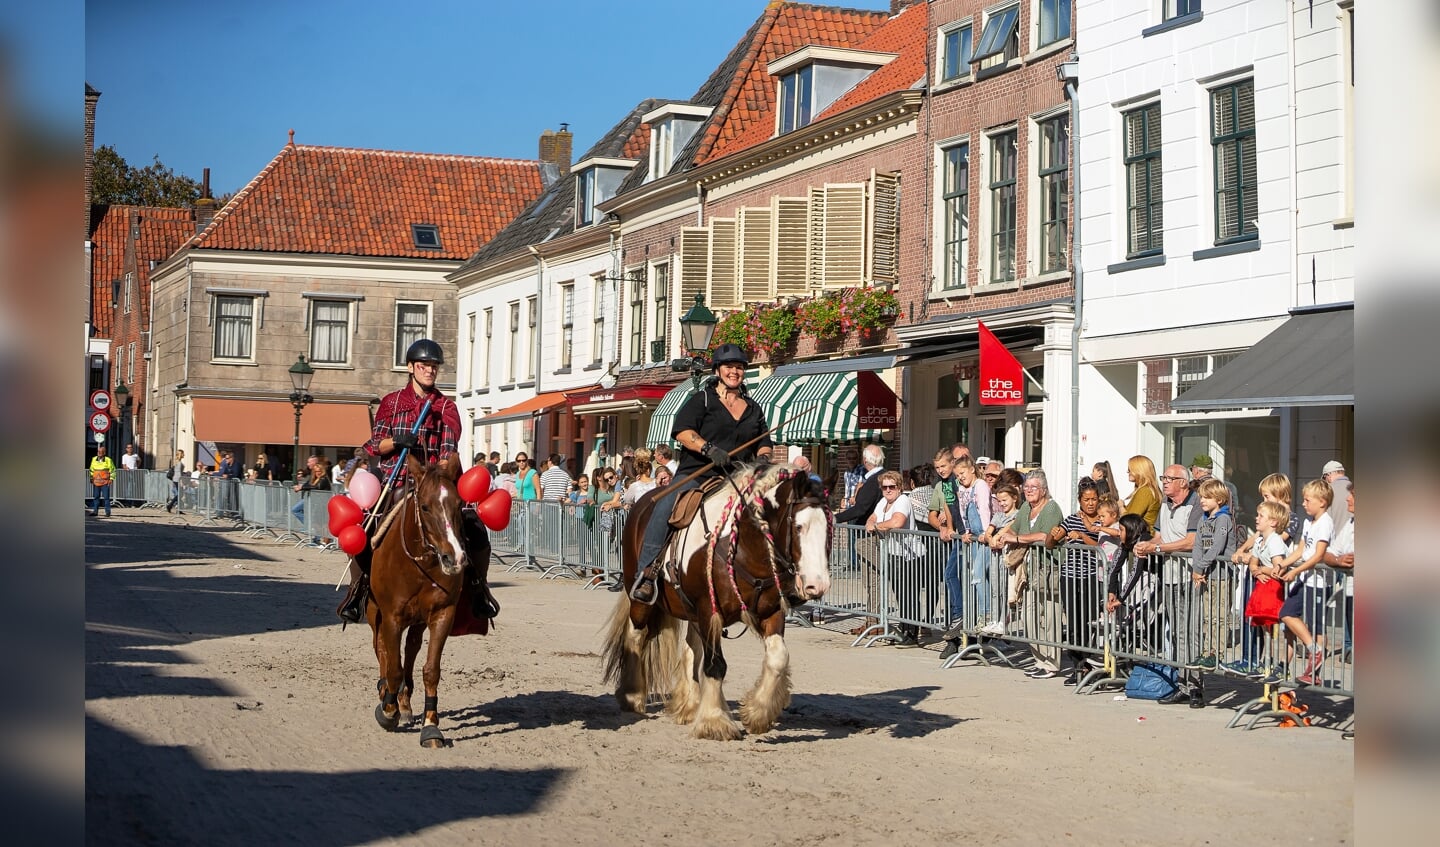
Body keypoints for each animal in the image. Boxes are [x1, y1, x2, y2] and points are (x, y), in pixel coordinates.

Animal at [362, 455, 475, 749]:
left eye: (459, 504)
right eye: (424, 506)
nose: (455, 558)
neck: (419, 564)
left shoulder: (442, 614)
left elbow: (430, 670)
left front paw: (431, 725)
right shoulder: (391, 616)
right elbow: (393, 666)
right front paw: (387, 711)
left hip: (418, 619)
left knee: (410, 648)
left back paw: (404, 703)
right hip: (374, 612)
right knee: (382, 649)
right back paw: (387, 695)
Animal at [601, 463, 835, 743]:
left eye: (829, 529)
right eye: (799, 527)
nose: (817, 585)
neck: (745, 547)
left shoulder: (770, 611)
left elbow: (778, 657)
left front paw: (757, 714)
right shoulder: (709, 610)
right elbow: (716, 665)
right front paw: (715, 721)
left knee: (690, 647)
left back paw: (689, 705)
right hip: (642, 600)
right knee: (636, 636)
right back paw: (633, 696)